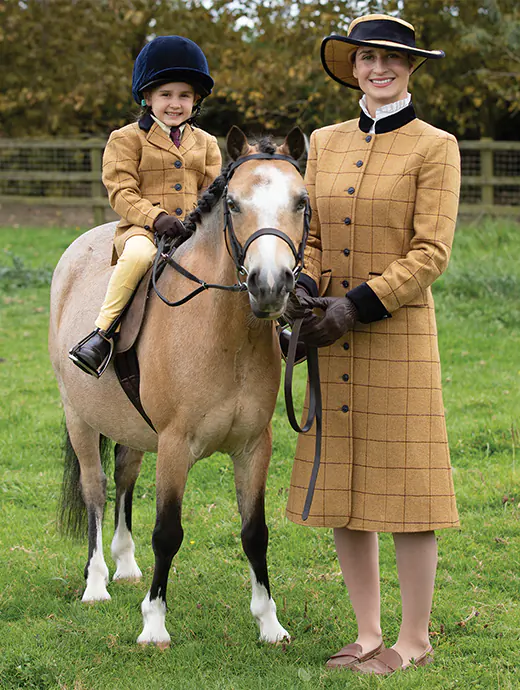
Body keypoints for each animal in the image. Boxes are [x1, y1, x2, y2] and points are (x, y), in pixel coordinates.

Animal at [47, 125, 308, 644]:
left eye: (302, 202)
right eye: (233, 204)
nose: (269, 286)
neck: (224, 333)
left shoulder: (255, 446)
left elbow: (256, 533)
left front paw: (269, 623)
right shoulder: (173, 444)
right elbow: (167, 533)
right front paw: (154, 626)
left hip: (128, 425)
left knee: (124, 476)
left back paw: (126, 566)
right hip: (79, 417)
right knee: (95, 487)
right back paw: (96, 583)